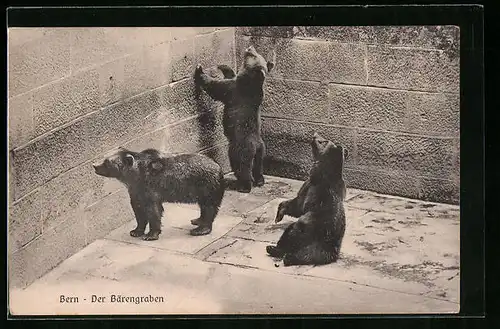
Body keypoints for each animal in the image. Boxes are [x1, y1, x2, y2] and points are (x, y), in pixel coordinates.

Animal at [93, 147, 226, 240]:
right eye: (104, 157)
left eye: (106, 162)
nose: (94, 165)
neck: (135, 176)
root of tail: (219, 168)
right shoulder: (136, 190)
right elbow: (138, 210)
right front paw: (135, 231)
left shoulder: (150, 187)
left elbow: (153, 210)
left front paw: (150, 235)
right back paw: (197, 220)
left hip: (206, 185)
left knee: (209, 207)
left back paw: (200, 229)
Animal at [193, 44, 276, 192]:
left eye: (254, 55)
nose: (250, 47)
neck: (250, 82)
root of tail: (255, 145)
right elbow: (230, 74)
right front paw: (224, 66)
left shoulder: (233, 91)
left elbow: (215, 87)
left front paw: (199, 70)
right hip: (261, 149)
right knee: (258, 165)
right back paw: (260, 180)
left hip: (240, 147)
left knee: (242, 166)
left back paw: (244, 185)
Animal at [266, 132, 348, 266]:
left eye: (323, 141)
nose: (314, 135)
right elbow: (296, 205)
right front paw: (278, 216)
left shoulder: (314, 190)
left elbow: (300, 206)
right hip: (320, 248)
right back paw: (280, 252)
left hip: (312, 236)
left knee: (294, 238)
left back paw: (280, 252)